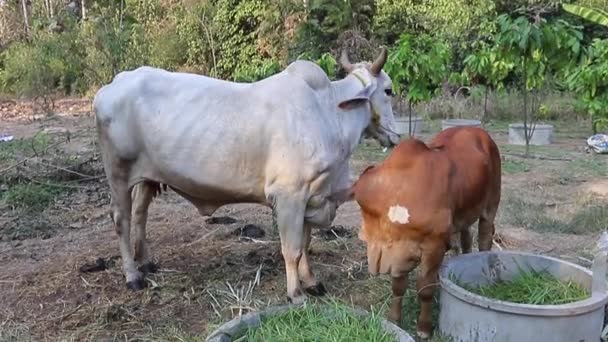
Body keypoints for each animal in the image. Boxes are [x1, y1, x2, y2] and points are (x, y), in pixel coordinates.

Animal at [94, 49, 400, 304]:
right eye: (388, 90)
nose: (397, 136)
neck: (328, 112)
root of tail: (111, 86)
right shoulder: (288, 195)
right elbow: (292, 249)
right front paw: (295, 294)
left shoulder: (310, 196)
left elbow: (305, 244)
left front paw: (312, 282)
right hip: (118, 172)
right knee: (121, 219)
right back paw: (133, 276)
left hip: (146, 177)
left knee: (140, 215)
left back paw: (147, 262)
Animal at [352, 126, 498, 340]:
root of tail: (475, 129)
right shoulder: (398, 252)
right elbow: (398, 286)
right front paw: (394, 319)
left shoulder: (434, 246)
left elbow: (425, 288)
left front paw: (424, 328)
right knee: (465, 239)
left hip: (491, 205)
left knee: (485, 236)